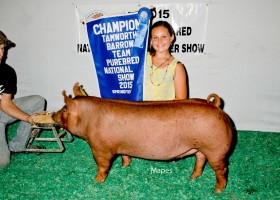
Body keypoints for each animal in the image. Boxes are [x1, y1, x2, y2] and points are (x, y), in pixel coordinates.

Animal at [52, 83, 232, 194]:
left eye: (64, 109)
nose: (53, 114)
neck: (89, 119)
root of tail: (215, 105)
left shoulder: (100, 148)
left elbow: (102, 166)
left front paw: (97, 181)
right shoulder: (121, 146)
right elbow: (124, 155)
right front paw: (125, 166)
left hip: (216, 150)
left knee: (221, 169)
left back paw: (217, 190)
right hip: (201, 148)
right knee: (200, 160)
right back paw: (193, 177)